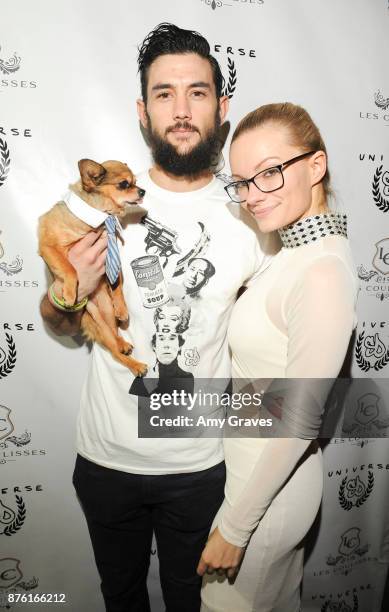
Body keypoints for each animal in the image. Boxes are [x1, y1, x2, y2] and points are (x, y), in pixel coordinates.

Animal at [38, 158, 147, 376]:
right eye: (124, 184)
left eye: (136, 182)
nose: (143, 191)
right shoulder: (49, 247)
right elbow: (69, 268)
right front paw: (69, 293)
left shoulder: (111, 254)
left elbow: (117, 283)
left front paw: (122, 309)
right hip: (97, 323)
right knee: (114, 354)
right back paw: (136, 365)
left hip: (105, 313)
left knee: (114, 336)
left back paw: (123, 344)